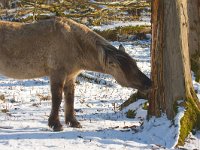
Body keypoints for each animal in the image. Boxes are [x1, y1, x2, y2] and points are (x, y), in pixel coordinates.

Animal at [0, 17, 151, 131]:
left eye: (135, 65)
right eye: (127, 70)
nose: (149, 83)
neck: (74, 42)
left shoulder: (71, 77)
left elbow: (70, 98)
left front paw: (73, 122)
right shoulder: (57, 74)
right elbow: (57, 99)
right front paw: (55, 124)